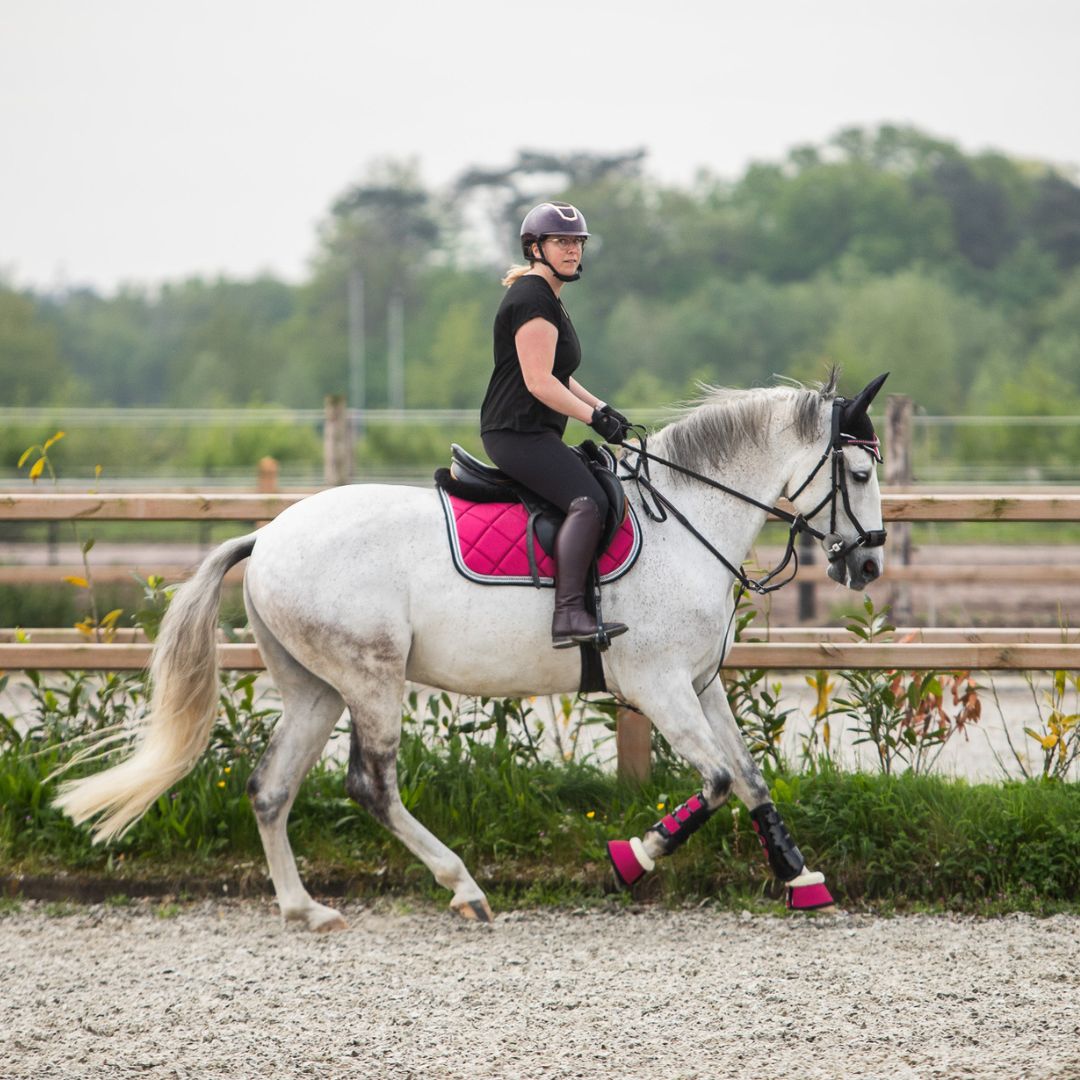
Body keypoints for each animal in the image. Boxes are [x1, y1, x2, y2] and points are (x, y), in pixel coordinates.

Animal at [54, 369, 885, 928]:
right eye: (859, 471)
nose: (869, 565)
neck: (686, 520)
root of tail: (267, 535)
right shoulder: (658, 686)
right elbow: (713, 782)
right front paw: (632, 857)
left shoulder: (701, 684)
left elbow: (750, 778)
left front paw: (801, 879)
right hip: (372, 678)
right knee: (371, 786)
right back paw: (463, 887)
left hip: (315, 688)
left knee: (270, 786)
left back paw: (305, 910)